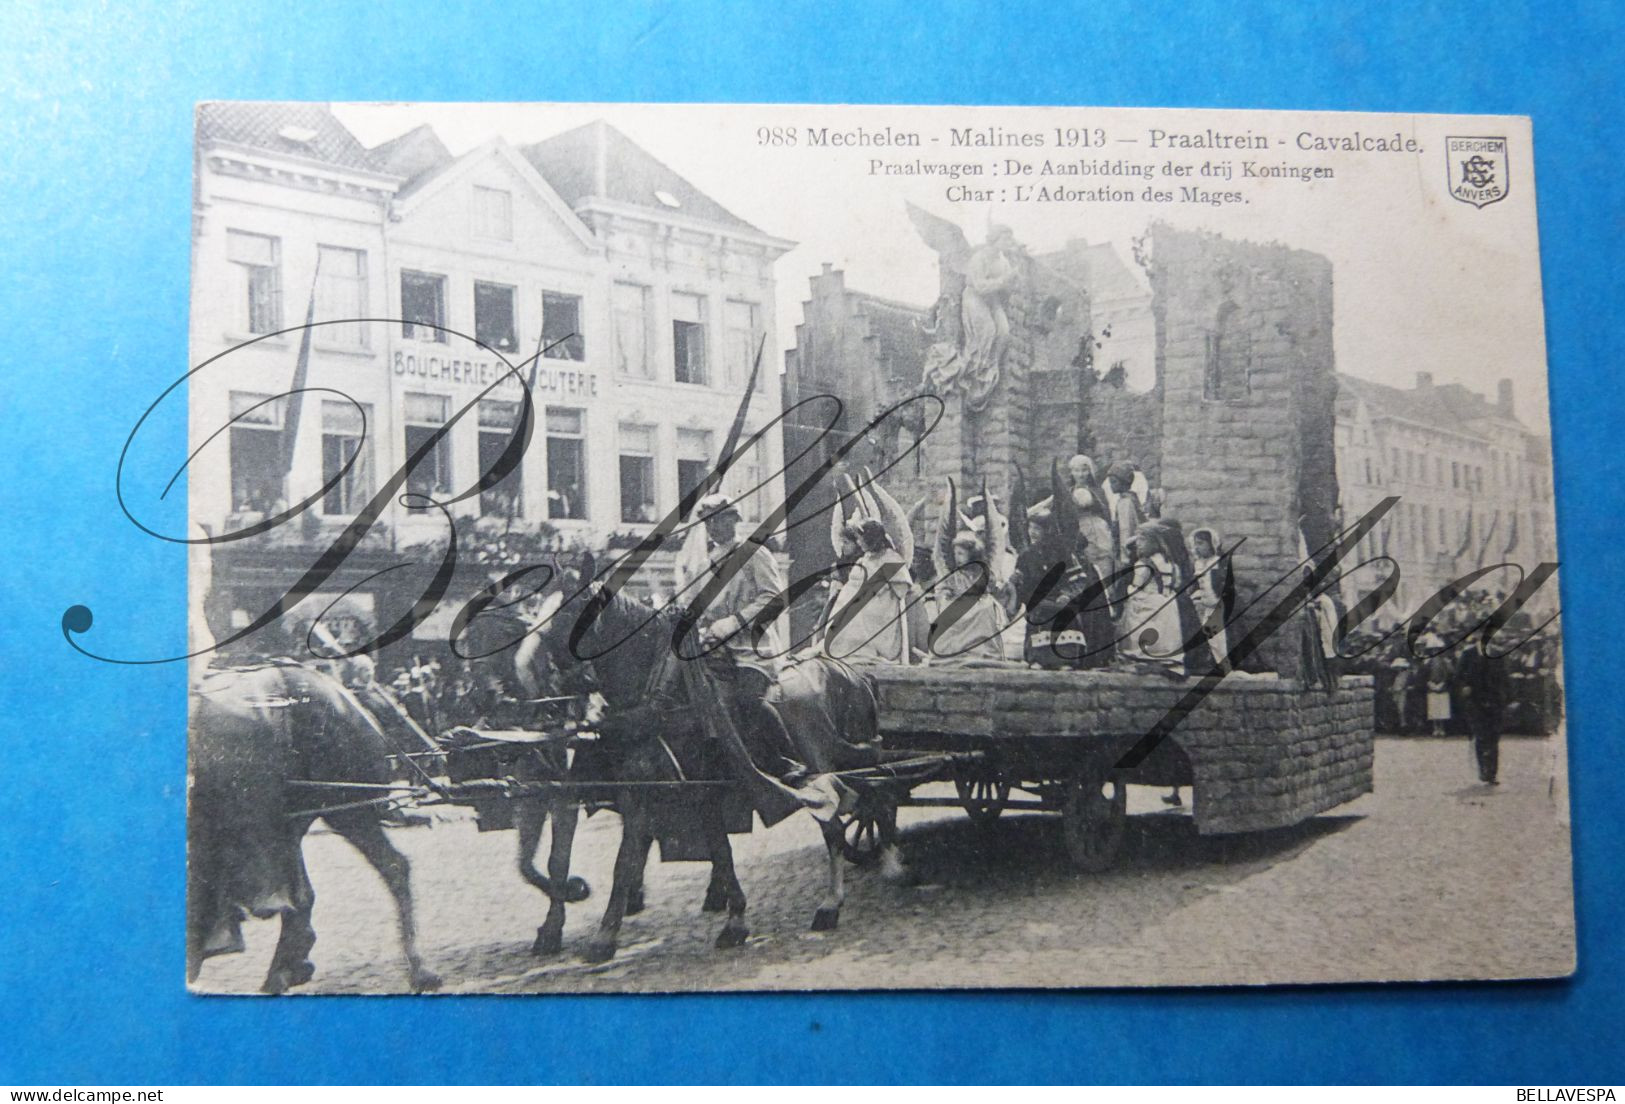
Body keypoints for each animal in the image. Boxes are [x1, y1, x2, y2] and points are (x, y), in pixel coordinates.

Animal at [188, 660, 445, 995]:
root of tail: (344, 694)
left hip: (345, 804)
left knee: (391, 866)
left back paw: (418, 969)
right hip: (302, 815)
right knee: (306, 894)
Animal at [513, 565, 910, 962]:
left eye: (569, 612)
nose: (528, 675)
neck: (661, 693)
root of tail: (856, 673)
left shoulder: (673, 791)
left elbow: (634, 861)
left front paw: (604, 935)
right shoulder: (667, 790)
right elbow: (710, 852)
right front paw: (733, 920)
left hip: (846, 761)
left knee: (869, 805)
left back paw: (863, 883)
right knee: (855, 812)